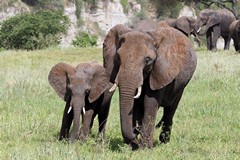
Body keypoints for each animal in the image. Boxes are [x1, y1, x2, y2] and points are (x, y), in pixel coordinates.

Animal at [103, 21, 197, 149]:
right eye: (117, 58)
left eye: (147, 60)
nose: (136, 131)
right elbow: (135, 104)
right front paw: (134, 146)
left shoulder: (161, 70)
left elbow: (150, 102)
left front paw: (145, 148)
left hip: (181, 86)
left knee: (171, 108)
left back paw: (164, 141)